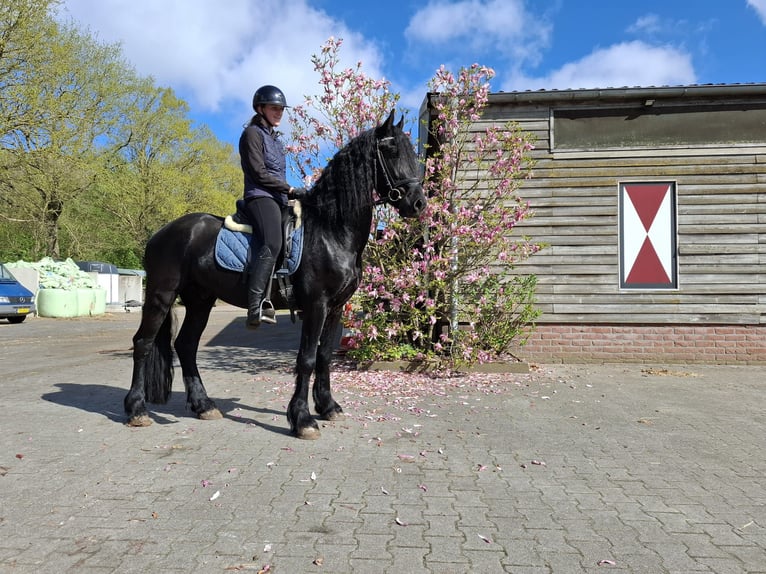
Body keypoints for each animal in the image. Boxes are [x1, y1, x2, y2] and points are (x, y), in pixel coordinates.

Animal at [124, 110, 427, 439]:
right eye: (392, 150)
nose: (418, 203)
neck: (331, 230)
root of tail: (161, 233)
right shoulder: (316, 305)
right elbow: (306, 359)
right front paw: (303, 419)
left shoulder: (335, 308)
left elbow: (324, 356)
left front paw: (328, 407)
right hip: (161, 295)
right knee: (143, 343)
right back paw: (137, 409)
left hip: (200, 300)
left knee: (186, 346)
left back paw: (204, 405)